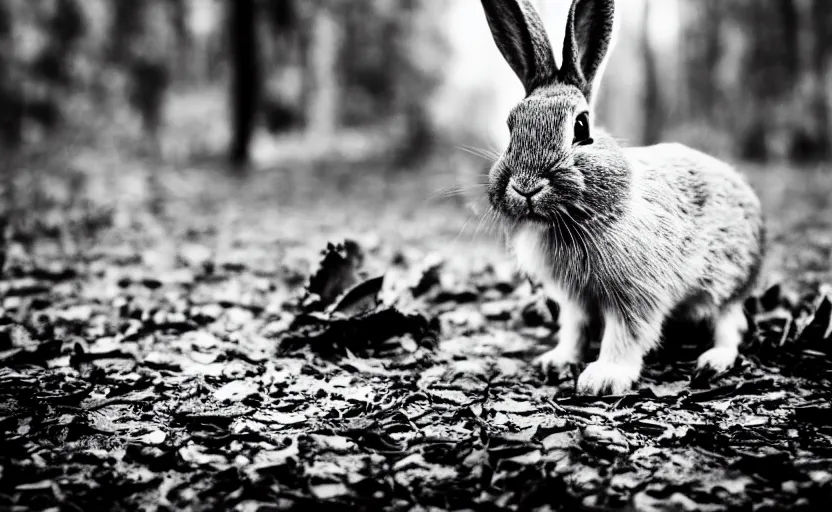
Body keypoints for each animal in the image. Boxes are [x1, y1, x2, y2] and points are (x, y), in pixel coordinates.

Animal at [478, 0, 764, 394]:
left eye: (581, 126)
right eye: (510, 130)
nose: (525, 186)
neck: (571, 221)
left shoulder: (636, 294)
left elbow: (625, 334)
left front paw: (603, 377)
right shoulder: (574, 301)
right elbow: (574, 329)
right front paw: (558, 361)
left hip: (727, 280)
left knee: (729, 323)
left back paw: (713, 361)